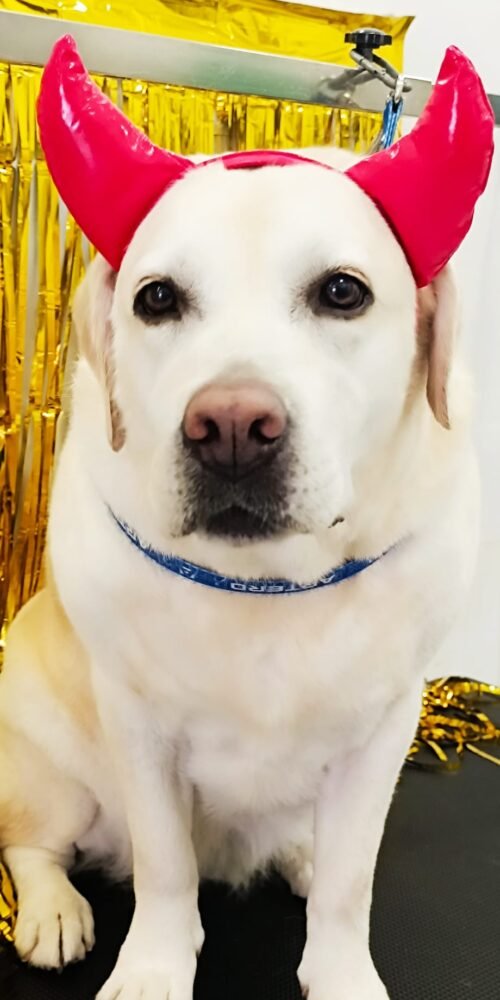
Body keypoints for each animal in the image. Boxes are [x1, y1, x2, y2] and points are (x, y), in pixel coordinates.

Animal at [0, 37, 492, 1000]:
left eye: (343, 292)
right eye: (157, 299)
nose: (230, 430)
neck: (267, 589)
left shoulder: (384, 729)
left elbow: (349, 884)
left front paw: (340, 971)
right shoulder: (139, 728)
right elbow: (163, 871)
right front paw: (152, 969)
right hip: (47, 762)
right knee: (34, 844)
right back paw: (53, 911)